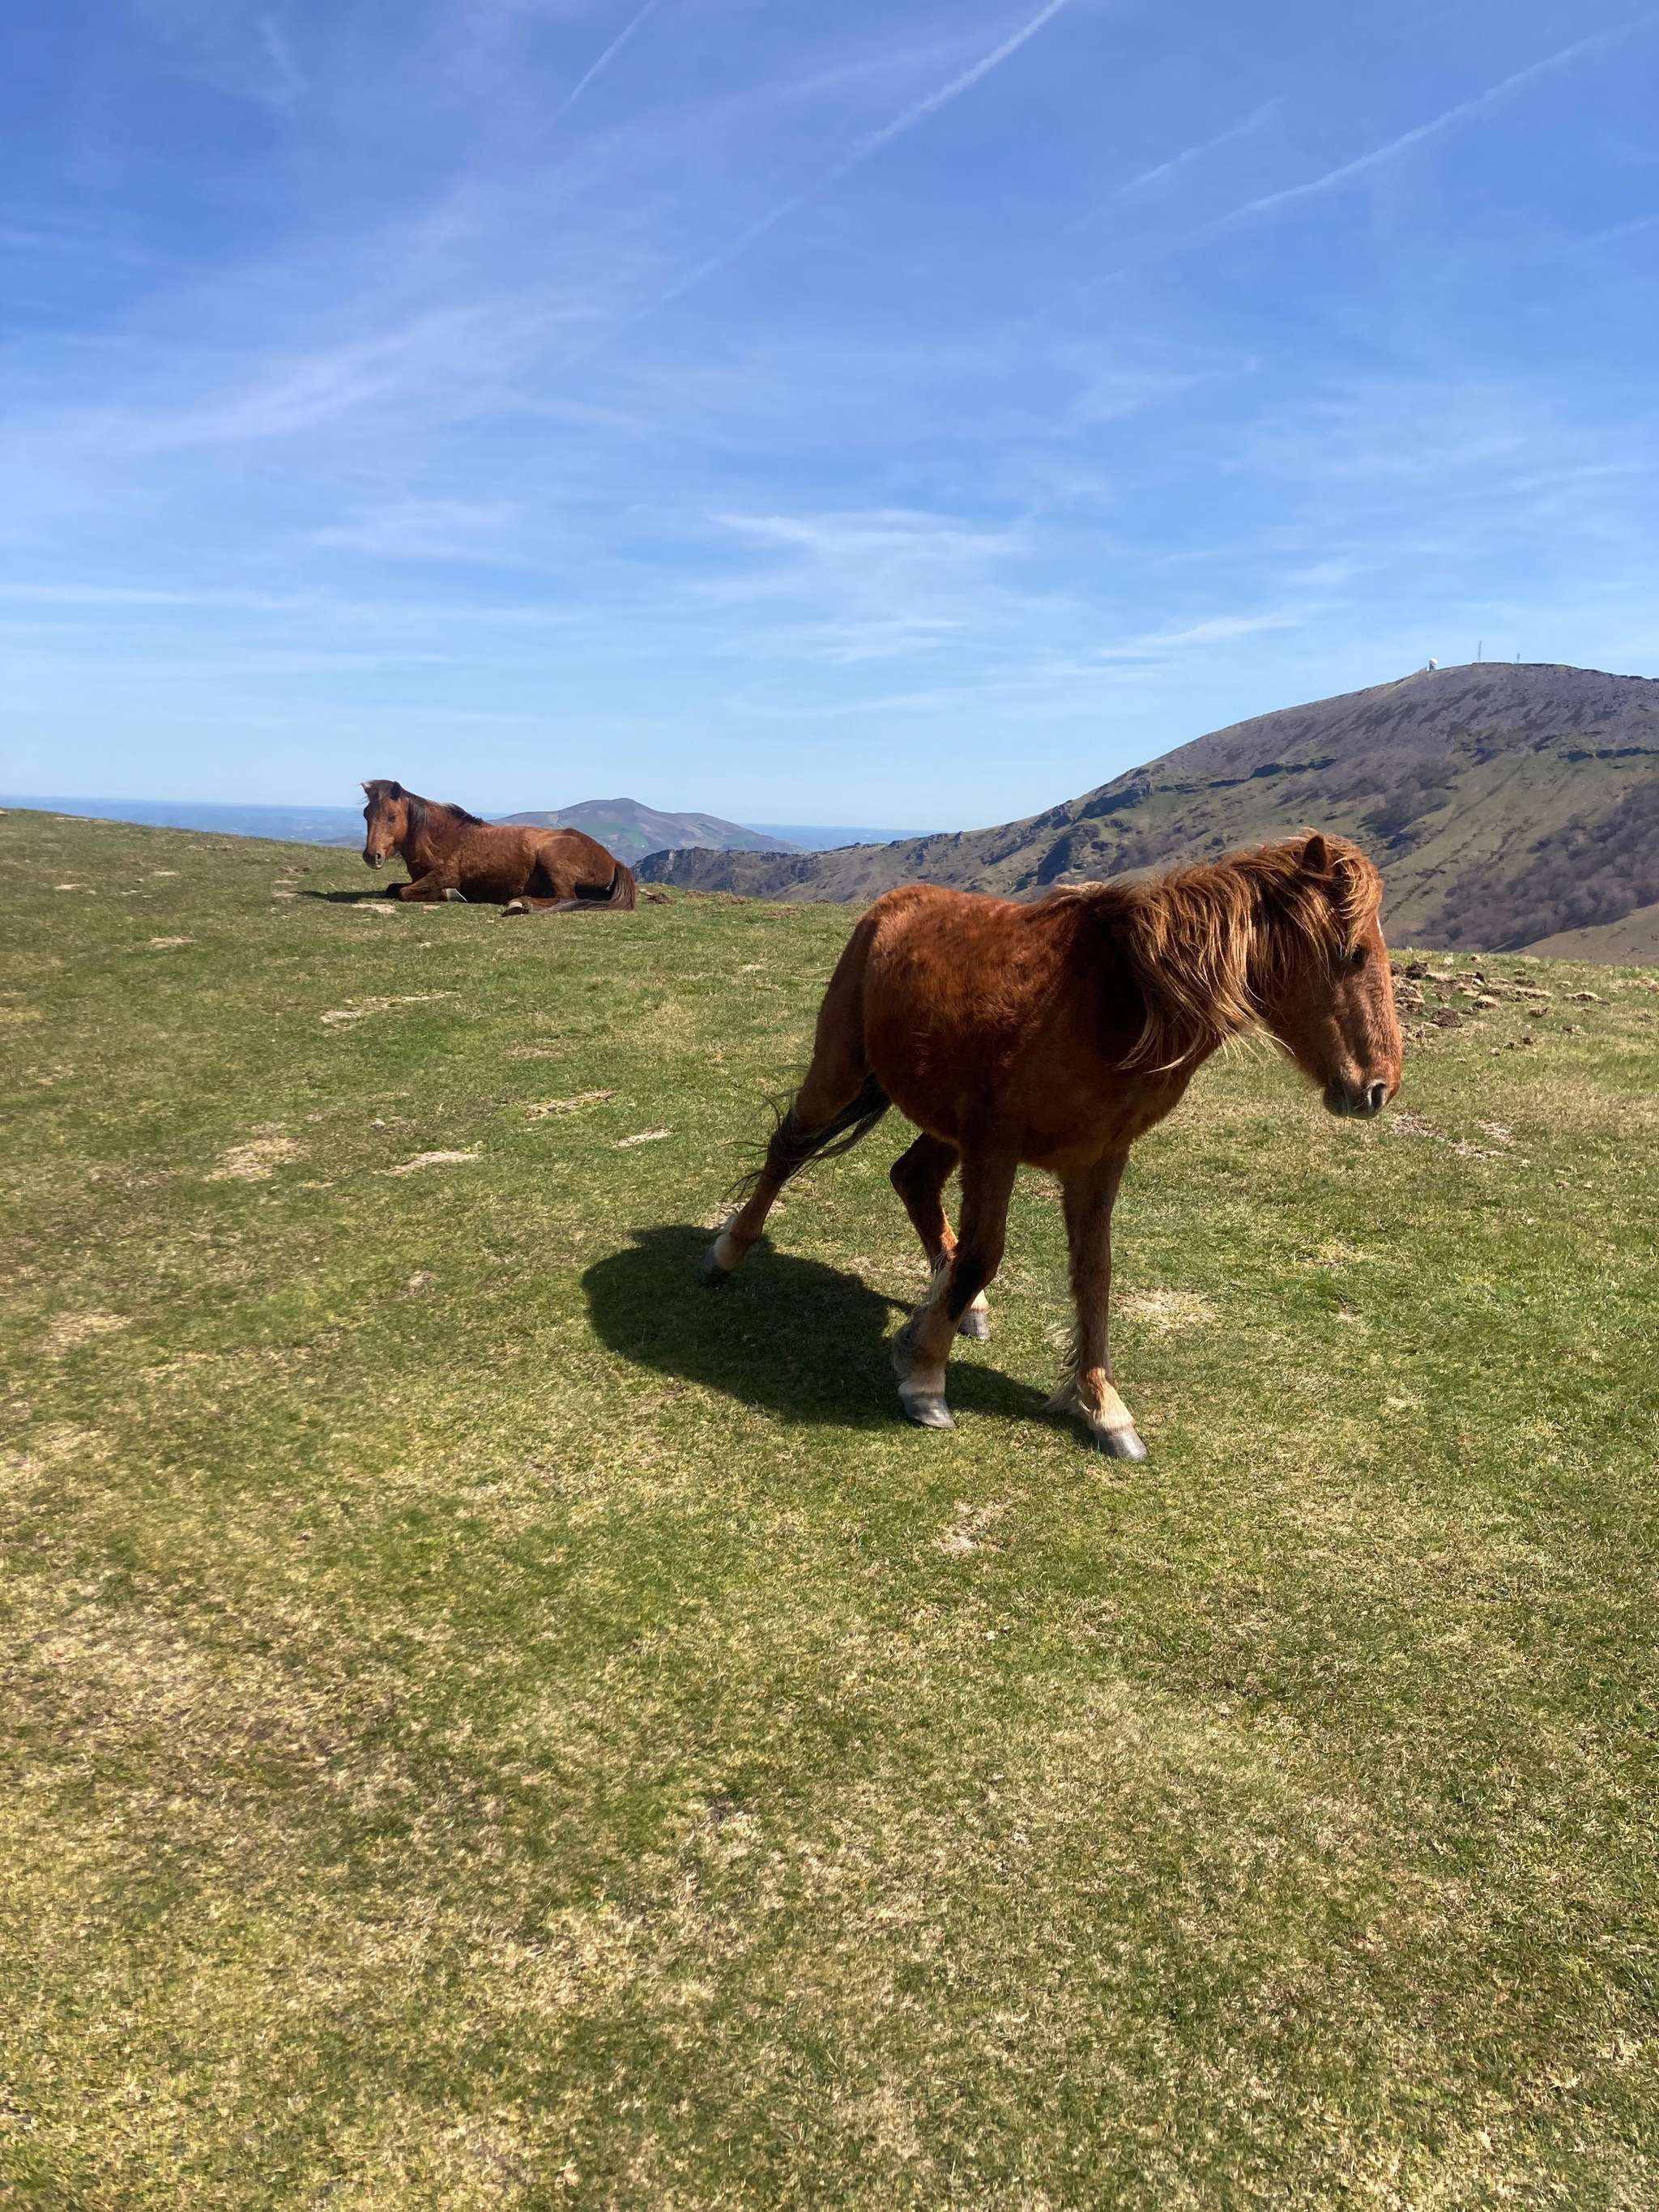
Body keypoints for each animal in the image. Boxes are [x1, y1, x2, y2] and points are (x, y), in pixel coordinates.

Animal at [360, 780, 637, 915]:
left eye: (392, 817)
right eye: (366, 814)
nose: (372, 856)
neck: (444, 838)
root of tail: (612, 860)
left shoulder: (446, 875)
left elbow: (405, 892)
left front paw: (450, 894)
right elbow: (393, 888)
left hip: (554, 862)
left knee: (566, 898)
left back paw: (522, 904)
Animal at [702, 831, 1401, 1454]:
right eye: (1354, 953)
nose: (1378, 1087)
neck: (1122, 1003)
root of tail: (892, 904)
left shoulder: (1098, 1159)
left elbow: (1094, 1272)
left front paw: (1102, 1404)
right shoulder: (995, 1144)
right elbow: (984, 1254)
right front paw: (925, 1378)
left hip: (944, 1125)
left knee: (913, 1178)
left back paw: (962, 1306)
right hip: (842, 1070)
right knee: (789, 1149)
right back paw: (729, 1253)